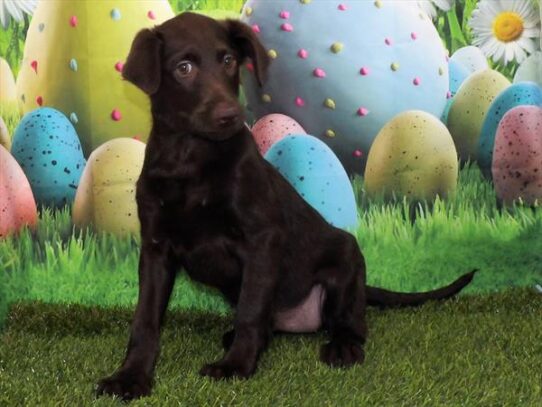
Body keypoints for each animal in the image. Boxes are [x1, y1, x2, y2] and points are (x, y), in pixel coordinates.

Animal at [96, 13, 476, 402]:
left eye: (228, 60)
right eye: (183, 68)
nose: (230, 115)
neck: (191, 158)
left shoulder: (262, 238)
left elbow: (250, 310)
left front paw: (235, 366)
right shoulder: (156, 249)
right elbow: (145, 319)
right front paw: (131, 376)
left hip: (346, 259)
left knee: (351, 323)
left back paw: (342, 346)